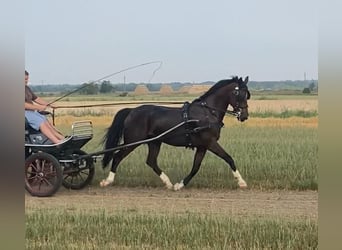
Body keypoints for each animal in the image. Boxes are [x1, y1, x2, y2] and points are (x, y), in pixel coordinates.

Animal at [100, 76, 250, 189]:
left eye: (247, 94)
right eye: (239, 93)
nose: (244, 116)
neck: (207, 113)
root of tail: (132, 111)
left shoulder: (202, 146)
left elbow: (196, 167)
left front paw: (180, 185)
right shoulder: (210, 142)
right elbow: (228, 158)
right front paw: (241, 182)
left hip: (154, 142)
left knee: (151, 161)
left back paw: (168, 183)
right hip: (133, 141)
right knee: (117, 157)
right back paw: (107, 181)